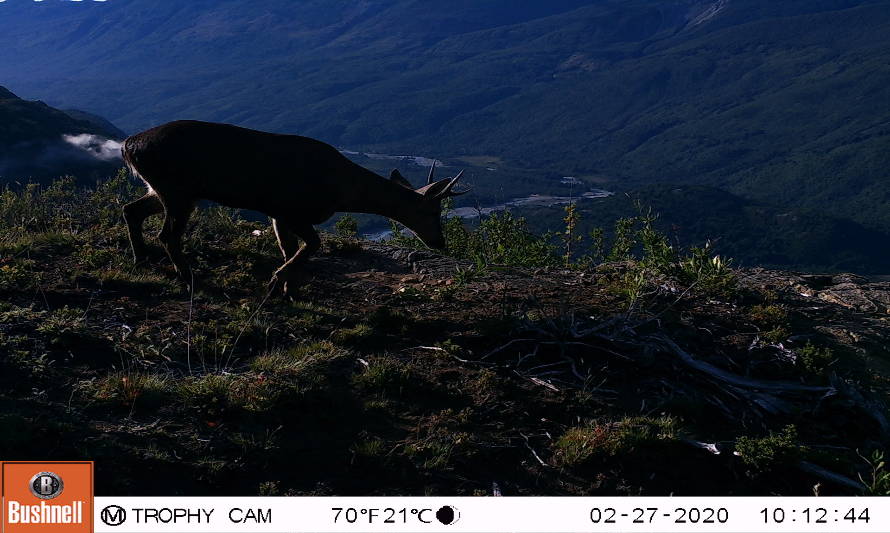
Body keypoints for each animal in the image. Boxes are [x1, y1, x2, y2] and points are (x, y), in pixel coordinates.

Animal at [121, 119, 464, 296]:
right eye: (432, 212)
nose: (439, 242)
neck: (343, 190)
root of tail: (127, 144)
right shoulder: (293, 209)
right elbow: (312, 245)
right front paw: (277, 280)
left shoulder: (278, 212)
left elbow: (289, 248)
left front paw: (288, 288)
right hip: (177, 188)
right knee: (166, 235)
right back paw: (188, 276)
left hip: (165, 188)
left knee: (130, 210)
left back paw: (141, 260)